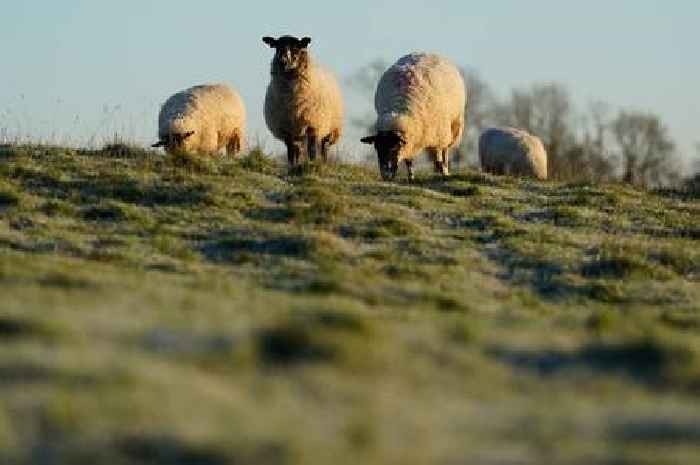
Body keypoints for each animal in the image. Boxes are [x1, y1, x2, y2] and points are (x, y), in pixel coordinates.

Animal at [262, 36, 344, 167]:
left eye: (296, 48)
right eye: (277, 47)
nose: (283, 61)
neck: (292, 100)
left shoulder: (313, 125)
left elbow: (312, 151)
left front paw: (312, 164)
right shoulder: (287, 129)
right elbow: (291, 153)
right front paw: (292, 166)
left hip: (330, 130)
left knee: (324, 148)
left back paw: (324, 164)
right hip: (298, 134)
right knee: (297, 150)